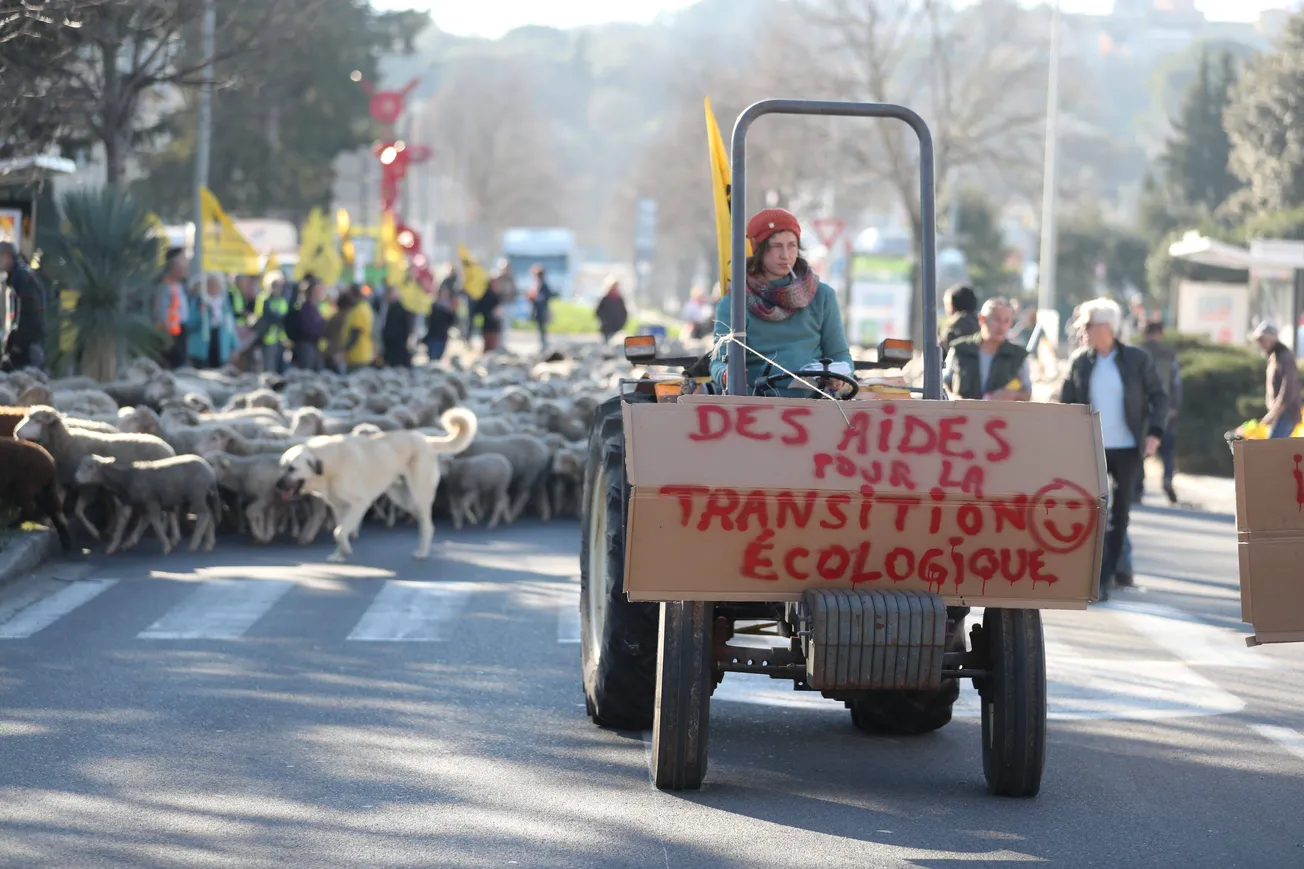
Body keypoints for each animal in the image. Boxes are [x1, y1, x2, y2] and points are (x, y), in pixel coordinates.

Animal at [75, 448, 219, 550]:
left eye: (91, 467)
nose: (76, 478)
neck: (126, 478)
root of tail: (211, 472)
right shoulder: (134, 502)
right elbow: (125, 522)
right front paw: (116, 546)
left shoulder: (150, 501)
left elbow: (154, 520)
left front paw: (166, 546)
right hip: (204, 496)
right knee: (210, 515)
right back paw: (209, 544)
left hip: (197, 494)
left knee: (204, 515)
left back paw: (194, 544)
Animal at [275, 407, 479, 561]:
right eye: (282, 466)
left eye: (292, 469)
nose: (277, 485)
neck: (328, 464)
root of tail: (425, 439)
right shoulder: (340, 508)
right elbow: (340, 531)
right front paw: (341, 554)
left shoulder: (359, 503)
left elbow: (338, 532)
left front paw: (344, 550)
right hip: (404, 499)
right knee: (425, 523)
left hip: (418, 496)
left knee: (428, 526)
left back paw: (422, 553)